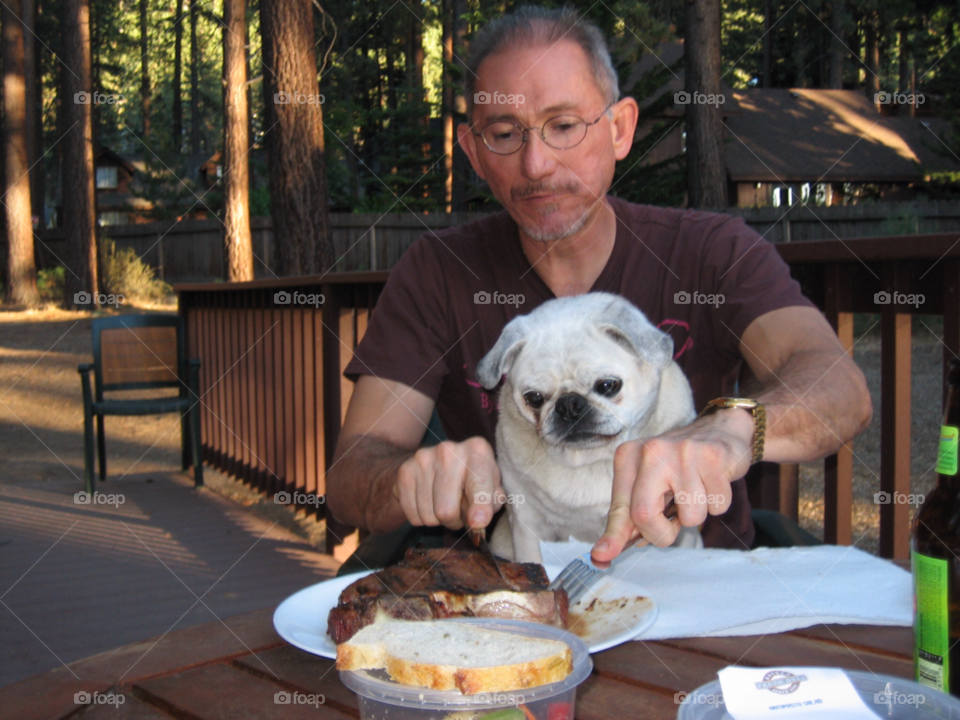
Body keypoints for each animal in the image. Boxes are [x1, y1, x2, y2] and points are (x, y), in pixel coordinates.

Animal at [476, 292, 700, 564]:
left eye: (607, 385)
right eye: (534, 398)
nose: (569, 405)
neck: (591, 459)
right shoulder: (526, 524)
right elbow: (533, 559)